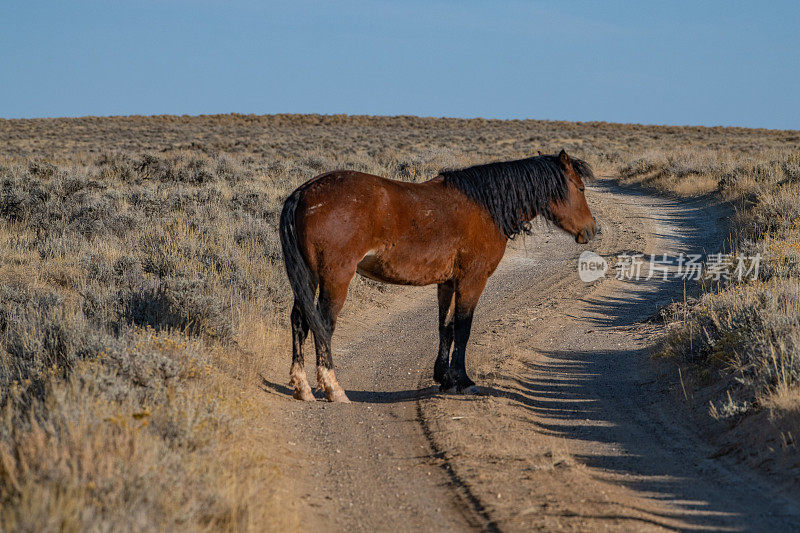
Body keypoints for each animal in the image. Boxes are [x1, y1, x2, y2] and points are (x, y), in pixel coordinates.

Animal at [278, 148, 596, 402]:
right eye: (580, 189)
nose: (591, 230)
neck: (485, 206)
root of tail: (303, 193)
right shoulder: (472, 281)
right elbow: (463, 328)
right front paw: (463, 380)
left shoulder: (447, 283)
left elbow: (446, 328)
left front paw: (444, 378)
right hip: (336, 279)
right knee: (323, 325)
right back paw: (333, 388)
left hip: (310, 278)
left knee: (299, 322)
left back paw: (302, 387)